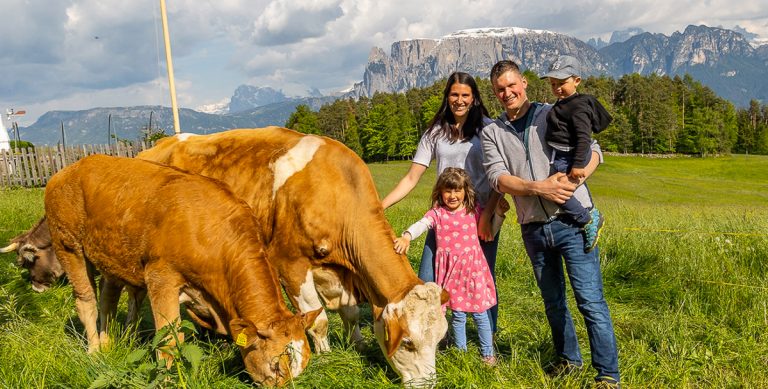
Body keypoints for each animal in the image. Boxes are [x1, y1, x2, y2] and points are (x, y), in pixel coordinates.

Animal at [45, 154, 320, 384]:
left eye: (302, 367)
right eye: (276, 366)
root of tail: (70, 168)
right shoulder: (161, 277)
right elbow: (169, 339)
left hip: (109, 257)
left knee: (107, 300)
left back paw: (109, 343)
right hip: (67, 244)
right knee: (86, 301)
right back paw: (94, 351)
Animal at [138, 128, 450, 384]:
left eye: (439, 340)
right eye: (408, 342)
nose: (428, 384)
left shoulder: (340, 272)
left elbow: (350, 313)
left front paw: (357, 345)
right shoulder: (290, 264)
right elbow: (319, 320)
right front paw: (325, 357)